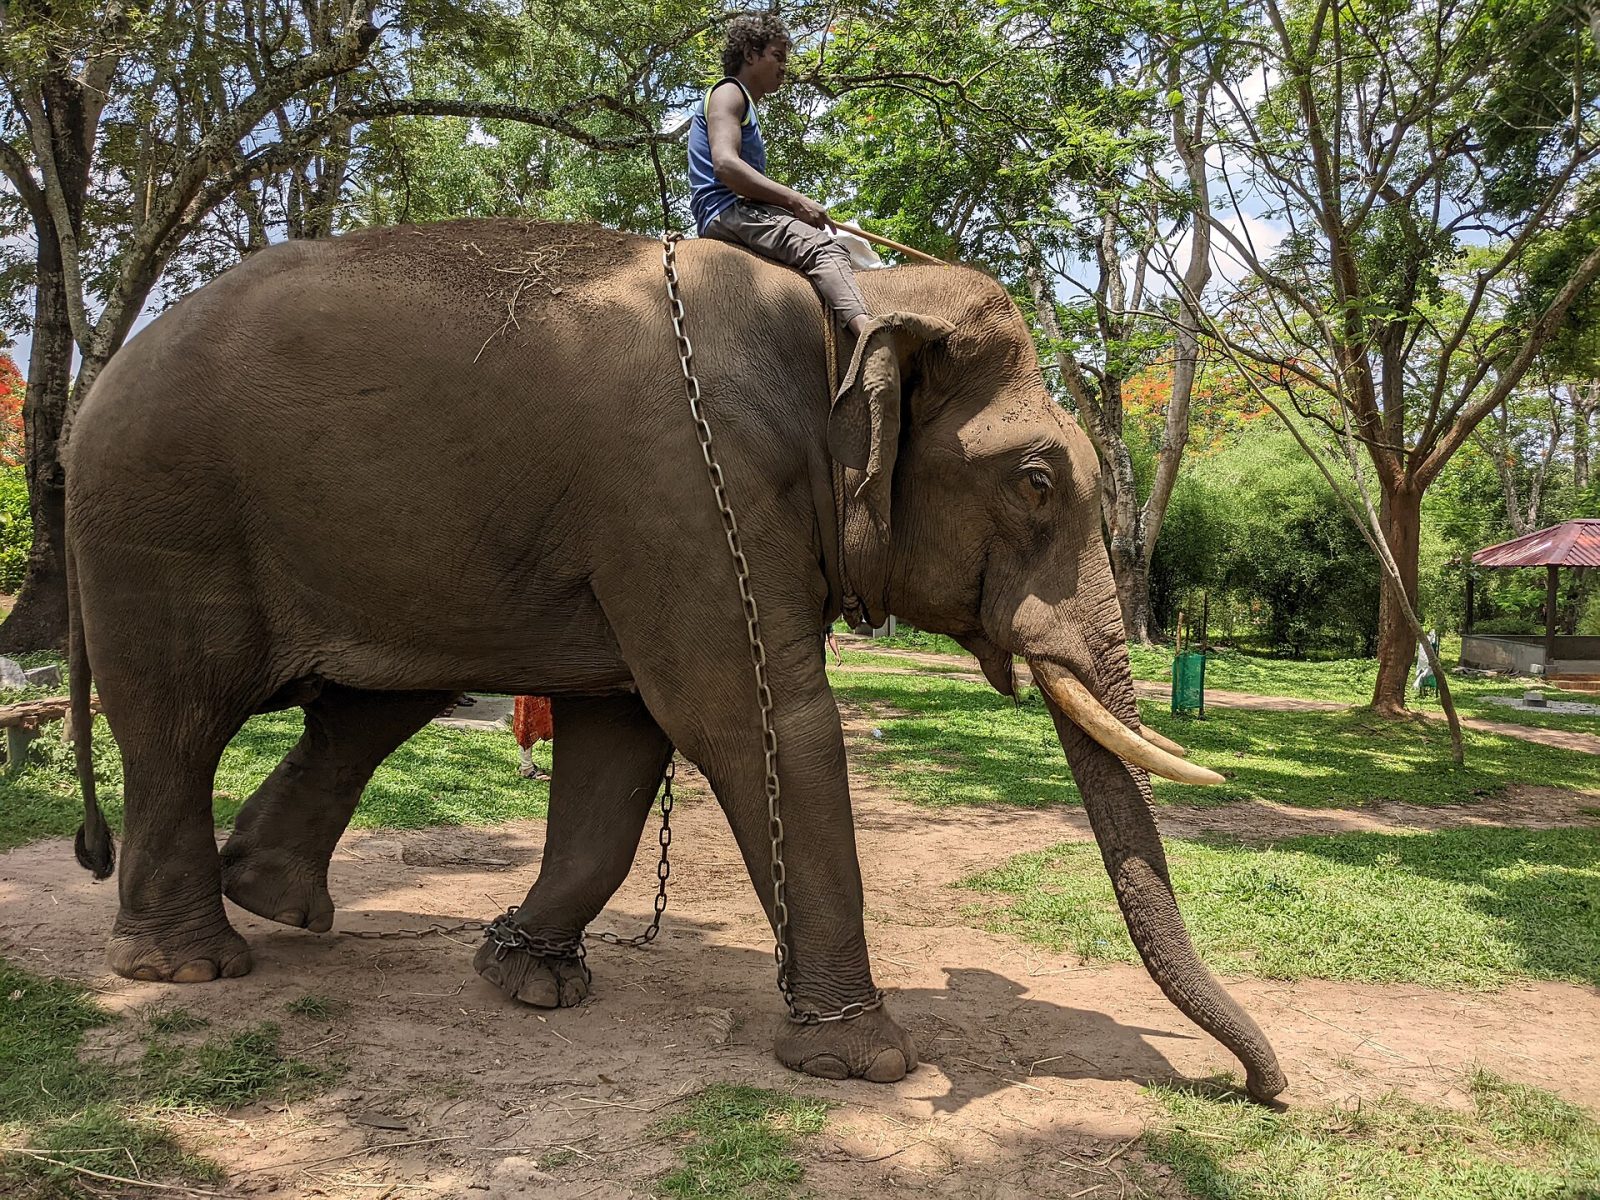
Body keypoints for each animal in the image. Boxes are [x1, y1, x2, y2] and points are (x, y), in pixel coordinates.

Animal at [63, 219, 1285, 1099]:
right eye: (1036, 479)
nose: (1260, 1089)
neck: (848, 310)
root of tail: (92, 387)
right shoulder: (692, 489)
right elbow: (756, 719)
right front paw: (868, 1063)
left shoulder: (669, 523)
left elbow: (624, 742)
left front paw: (529, 982)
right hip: (157, 524)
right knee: (177, 723)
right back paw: (191, 966)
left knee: (373, 697)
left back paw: (271, 897)